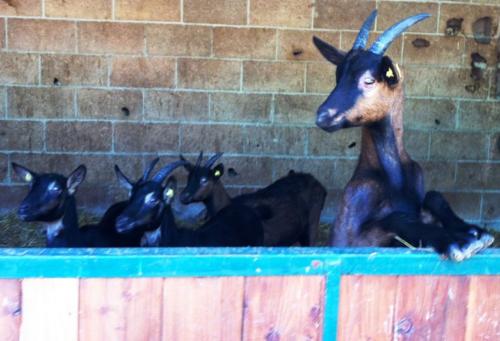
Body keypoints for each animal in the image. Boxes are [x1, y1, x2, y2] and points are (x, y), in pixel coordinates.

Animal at [178, 151, 326, 244]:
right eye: (189, 177)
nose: (183, 197)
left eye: (204, 180)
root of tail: (319, 185)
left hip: (312, 224)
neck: (227, 204)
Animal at [314, 10, 494, 260]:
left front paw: (475, 231)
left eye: (369, 80)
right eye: (338, 77)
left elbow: (433, 196)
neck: (394, 178)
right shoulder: (346, 238)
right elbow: (396, 217)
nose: (323, 116)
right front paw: (460, 242)